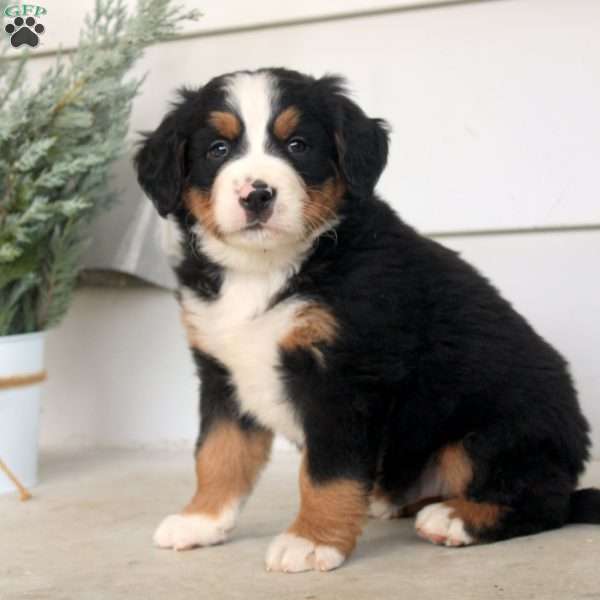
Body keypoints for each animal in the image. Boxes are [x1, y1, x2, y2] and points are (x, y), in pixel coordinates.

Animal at [136, 65, 600, 572]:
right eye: (217, 149)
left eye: (298, 144)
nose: (257, 195)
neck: (263, 270)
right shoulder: (222, 373)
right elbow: (218, 453)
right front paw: (200, 520)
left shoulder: (345, 377)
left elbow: (328, 472)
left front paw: (311, 541)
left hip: (490, 434)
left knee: (544, 502)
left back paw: (453, 518)